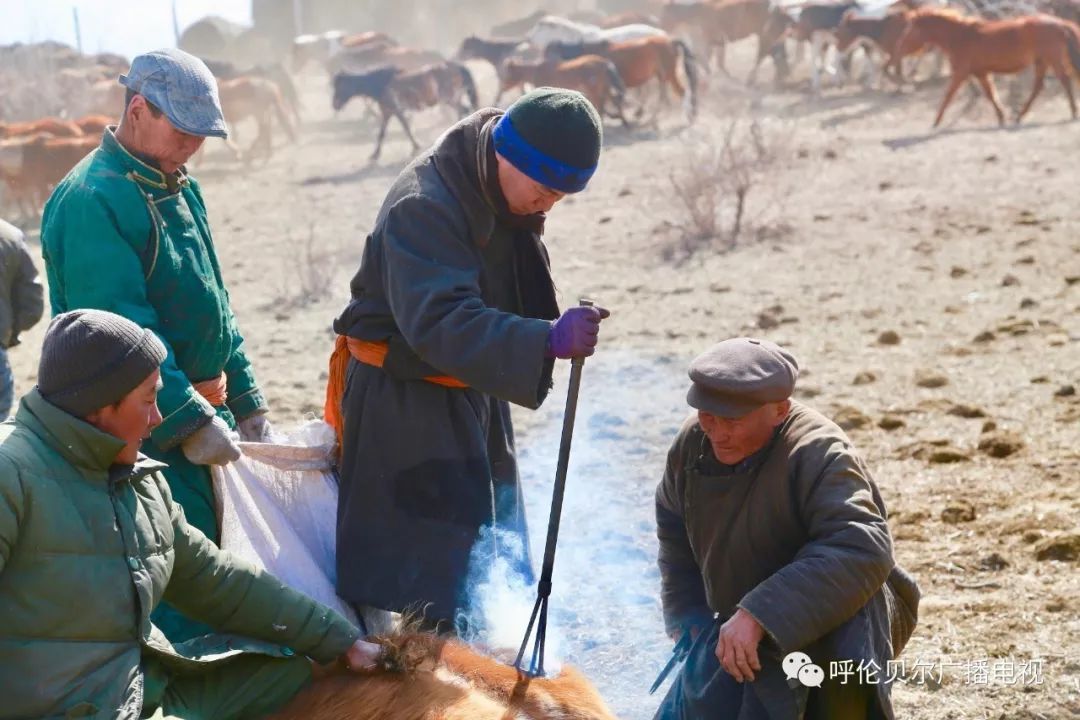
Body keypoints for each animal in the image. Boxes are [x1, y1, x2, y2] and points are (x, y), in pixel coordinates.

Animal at [331, 62, 478, 162]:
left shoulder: (395, 110)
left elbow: (405, 128)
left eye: (340, 86)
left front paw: (415, 147)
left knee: (463, 111)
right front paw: (375, 154)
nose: (334, 105)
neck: (381, 83)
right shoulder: (388, 112)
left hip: (450, 99)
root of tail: (455, 66)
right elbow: (383, 133)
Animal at [500, 56, 631, 126]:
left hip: (596, 90)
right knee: (612, 101)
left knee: (603, 104)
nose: (502, 88)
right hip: (604, 88)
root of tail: (604, 62)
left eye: (508, 74)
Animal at [544, 36, 698, 121]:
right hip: (663, 75)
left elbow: (607, 102)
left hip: (668, 74)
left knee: (680, 92)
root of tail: (670, 41)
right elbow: (608, 101)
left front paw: (616, 116)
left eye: (549, 51)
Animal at [659, 0, 791, 84]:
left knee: (763, 54)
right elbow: (711, 61)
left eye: (664, 15)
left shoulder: (712, 41)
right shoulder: (714, 42)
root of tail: (780, 8)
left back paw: (753, 79)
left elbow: (711, 61)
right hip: (770, 36)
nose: (661, 26)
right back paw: (781, 75)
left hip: (765, 35)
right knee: (777, 53)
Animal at [896, 7, 1080, 126]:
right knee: (1039, 86)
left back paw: (1072, 112)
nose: (900, 48)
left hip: (1052, 59)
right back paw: (1019, 116)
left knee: (1064, 81)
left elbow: (949, 95)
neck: (959, 36)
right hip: (1042, 62)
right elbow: (990, 94)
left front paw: (936, 122)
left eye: (910, 29)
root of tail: (1060, 23)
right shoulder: (980, 73)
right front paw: (1001, 117)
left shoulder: (960, 73)